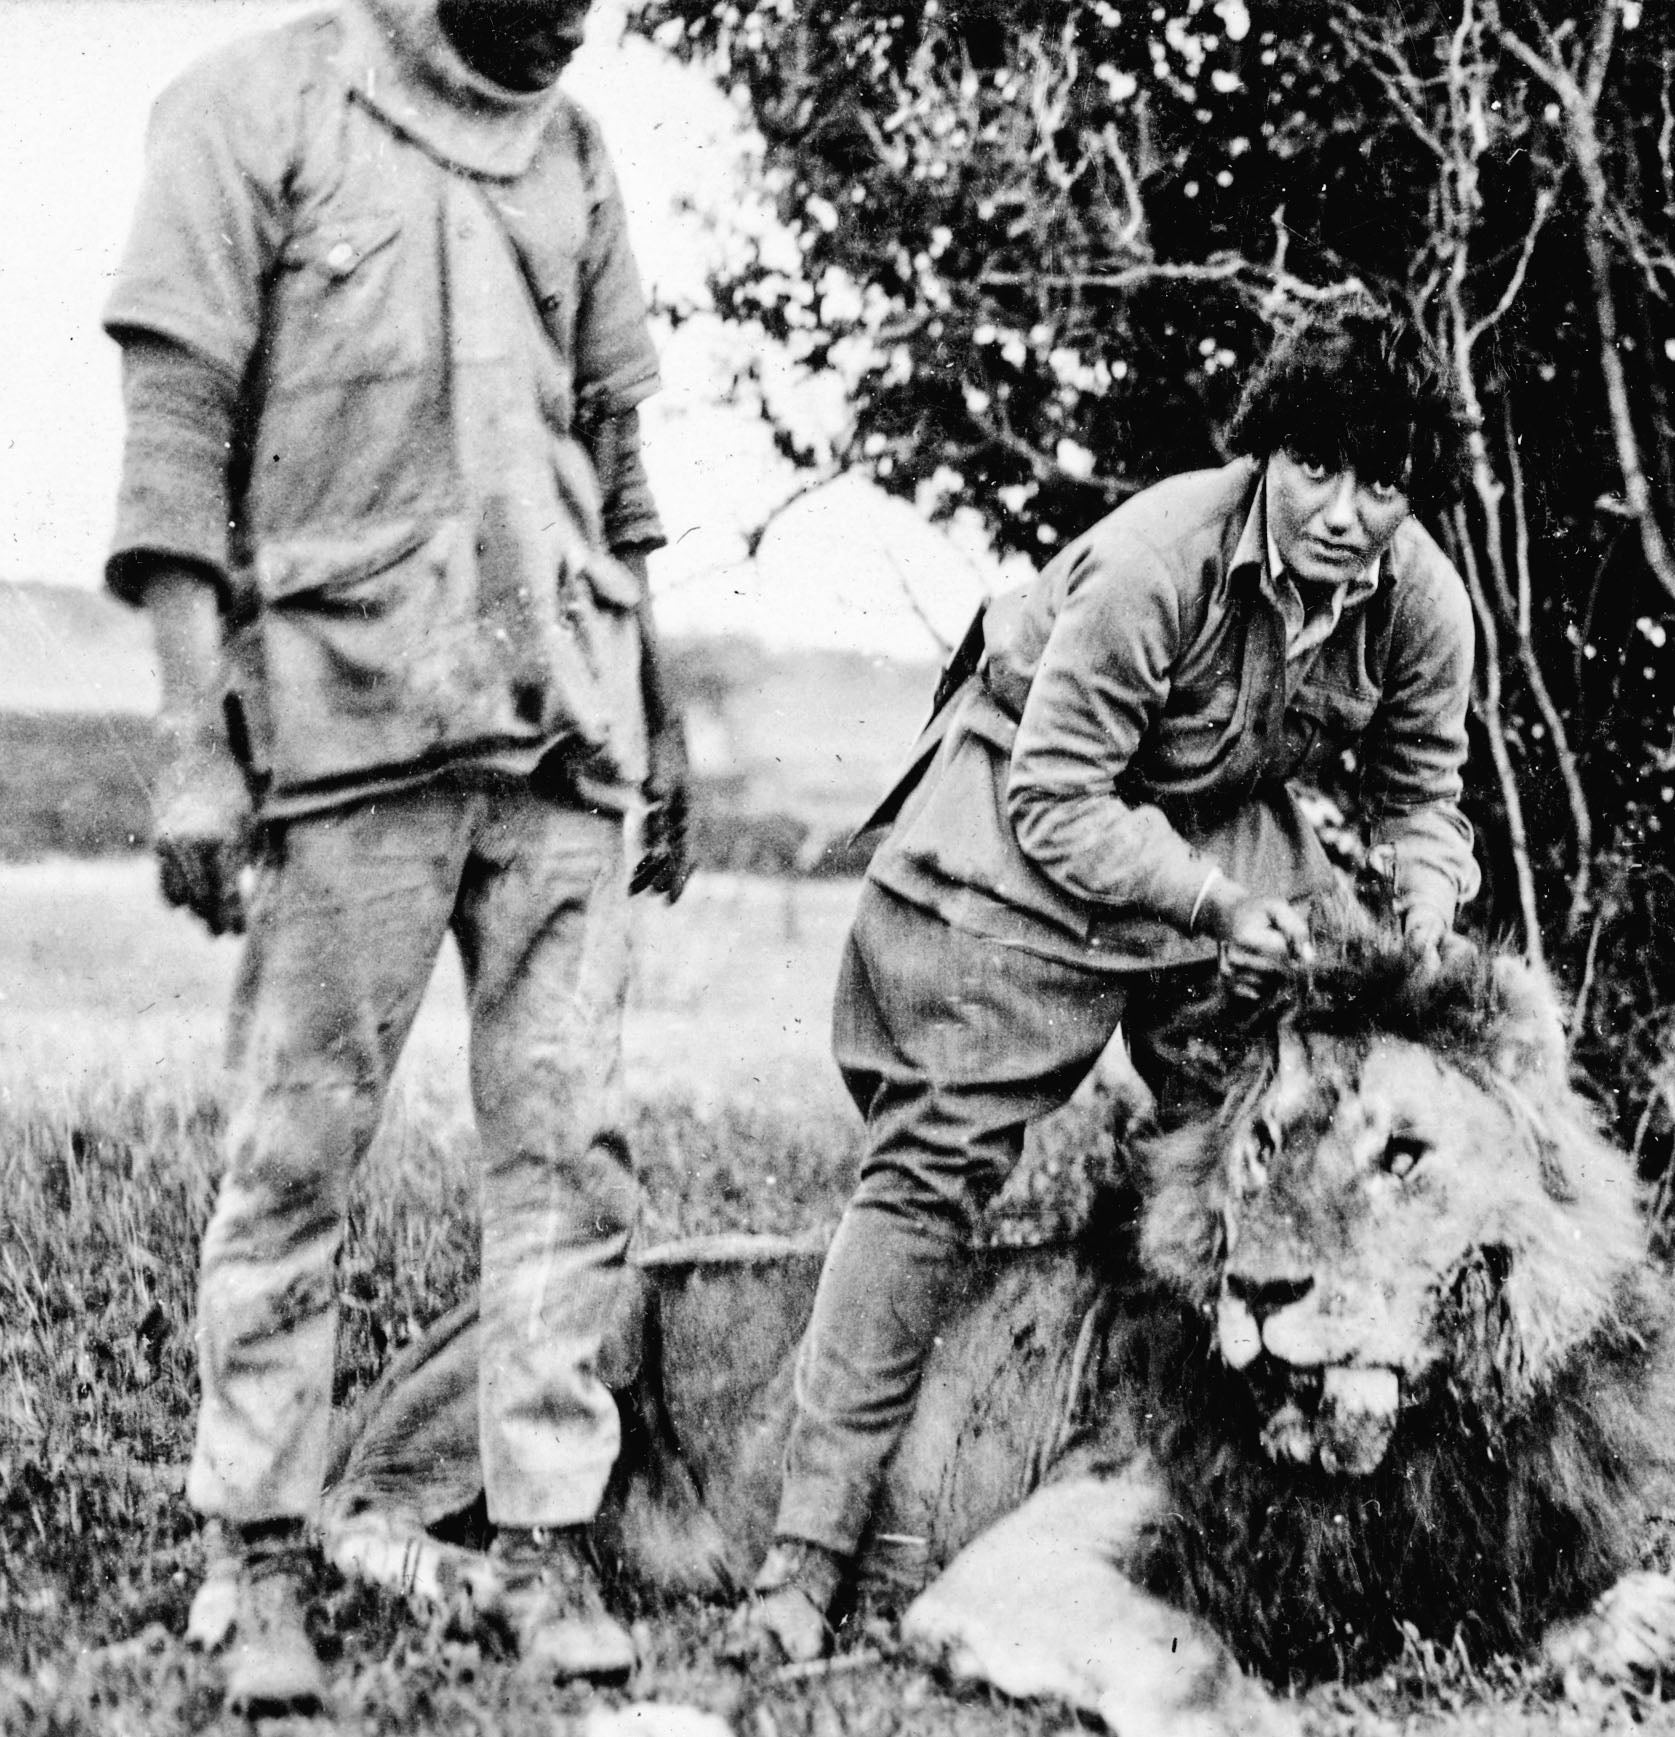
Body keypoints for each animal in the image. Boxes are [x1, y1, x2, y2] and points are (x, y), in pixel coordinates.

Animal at [321, 944, 1675, 1730]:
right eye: (1263, 1143)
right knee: (353, 1512)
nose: (1261, 1290)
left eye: (1403, 1154)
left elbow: (1629, 1601)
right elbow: (1193, 1661)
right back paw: (508, 1596)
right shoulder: (1013, 1567)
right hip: (584, 1317)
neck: (1403, 1445)